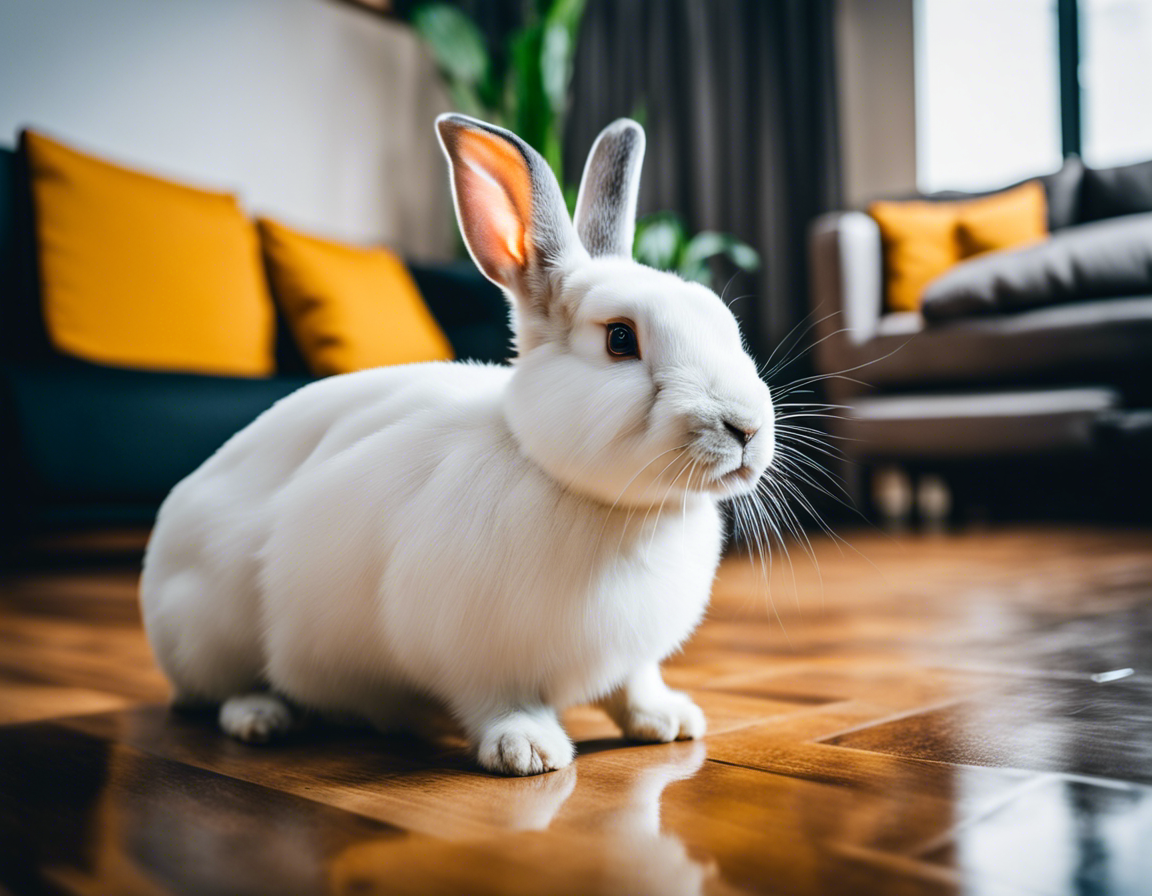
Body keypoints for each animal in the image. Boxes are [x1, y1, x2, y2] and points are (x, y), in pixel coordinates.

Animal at [139, 113, 775, 776]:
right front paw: (528, 750)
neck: (608, 503)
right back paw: (261, 719)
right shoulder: (473, 653)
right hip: (214, 630)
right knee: (222, 690)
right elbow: (497, 700)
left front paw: (669, 721)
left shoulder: (632, 655)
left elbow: (634, 686)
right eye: (620, 339)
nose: (746, 429)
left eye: (724, 324)